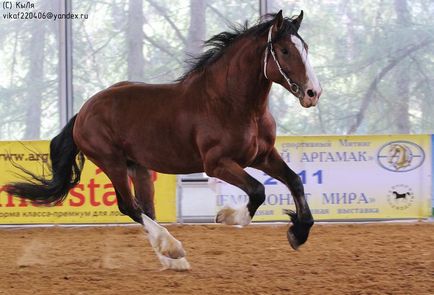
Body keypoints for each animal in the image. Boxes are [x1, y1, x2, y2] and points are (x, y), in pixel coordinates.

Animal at [5, 10, 322, 272]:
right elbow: (257, 190)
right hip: (112, 162)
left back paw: (172, 259)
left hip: (138, 167)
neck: (231, 103)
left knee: (145, 209)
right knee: (130, 207)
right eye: (284, 50)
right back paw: (173, 248)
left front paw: (298, 232)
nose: (313, 93)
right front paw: (228, 217)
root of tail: (84, 111)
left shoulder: (263, 156)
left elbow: (295, 181)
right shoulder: (217, 164)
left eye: (305, 47)